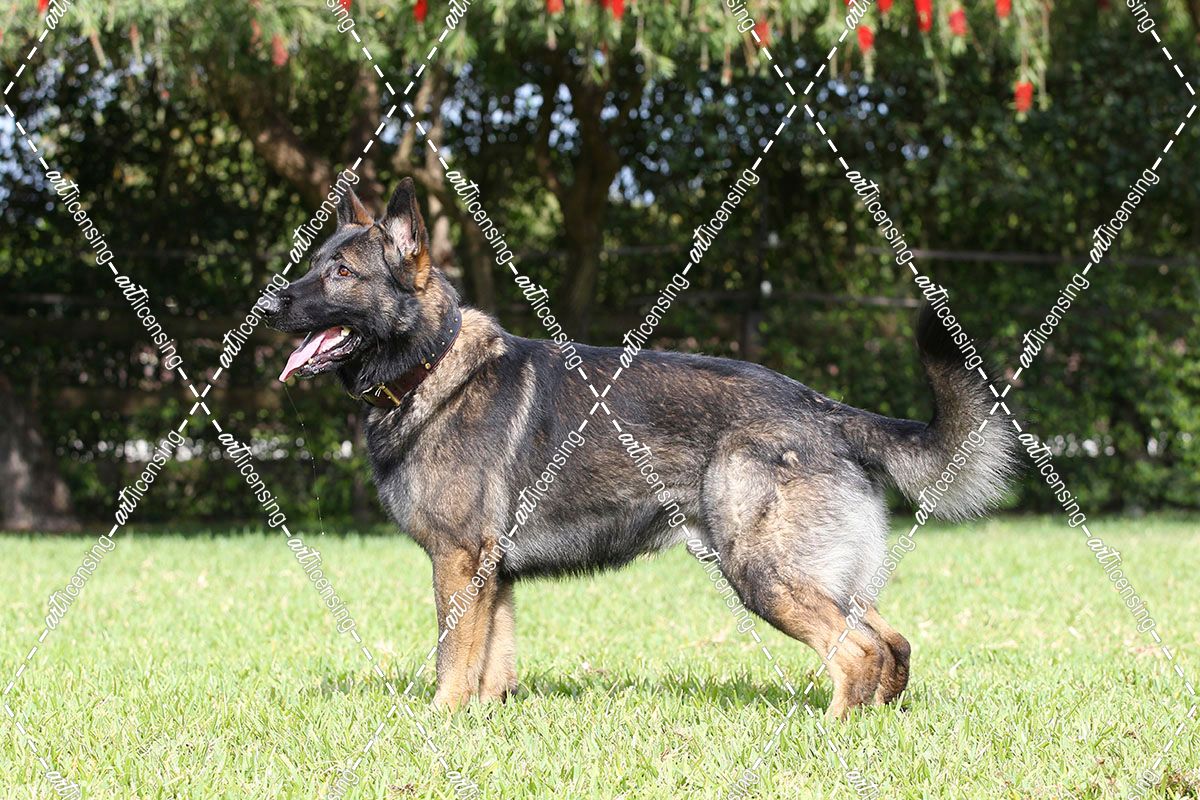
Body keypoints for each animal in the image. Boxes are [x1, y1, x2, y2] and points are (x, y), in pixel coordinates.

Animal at [262, 178, 1017, 716]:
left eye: (341, 273)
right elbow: (492, 666)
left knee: (858, 652)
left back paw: (828, 733)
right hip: (823, 574)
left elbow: (453, 661)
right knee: (893, 643)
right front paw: (483, 721)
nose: (268, 303)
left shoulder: (459, 562)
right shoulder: (493, 575)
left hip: (763, 573)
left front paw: (440, 723)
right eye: (313, 264)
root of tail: (822, 409)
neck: (430, 364)